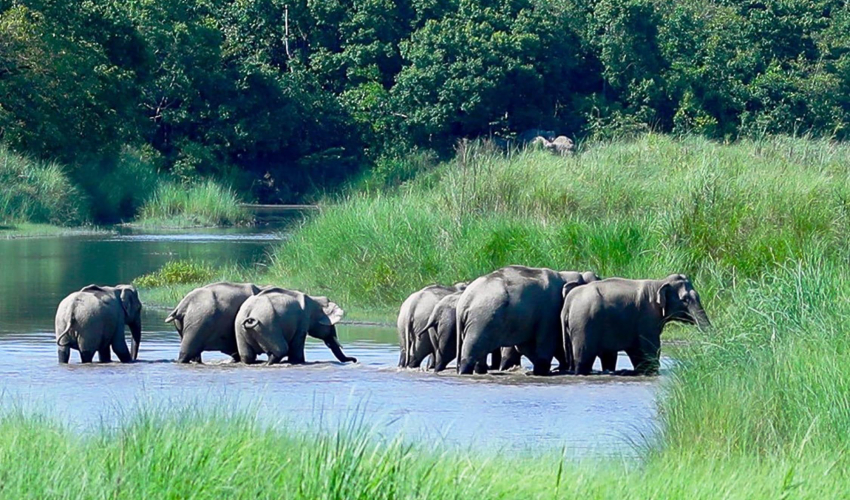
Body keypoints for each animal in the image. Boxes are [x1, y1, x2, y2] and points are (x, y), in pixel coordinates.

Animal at [458, 266, 596, 376]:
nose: (566, 368)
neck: (565, 275)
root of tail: (465, 301)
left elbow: (525, 346)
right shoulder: (549, 310)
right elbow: (547, 341)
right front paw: (542, 372)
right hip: (481, 320)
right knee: (472, 348)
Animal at [564, 274, 708, 376]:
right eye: (685, 299)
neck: (659, 283)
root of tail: (568, 303)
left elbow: (636, 349)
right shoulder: (647, 316)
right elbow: (650, 345)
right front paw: (652, 372)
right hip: (583, 324)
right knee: (584, 357)